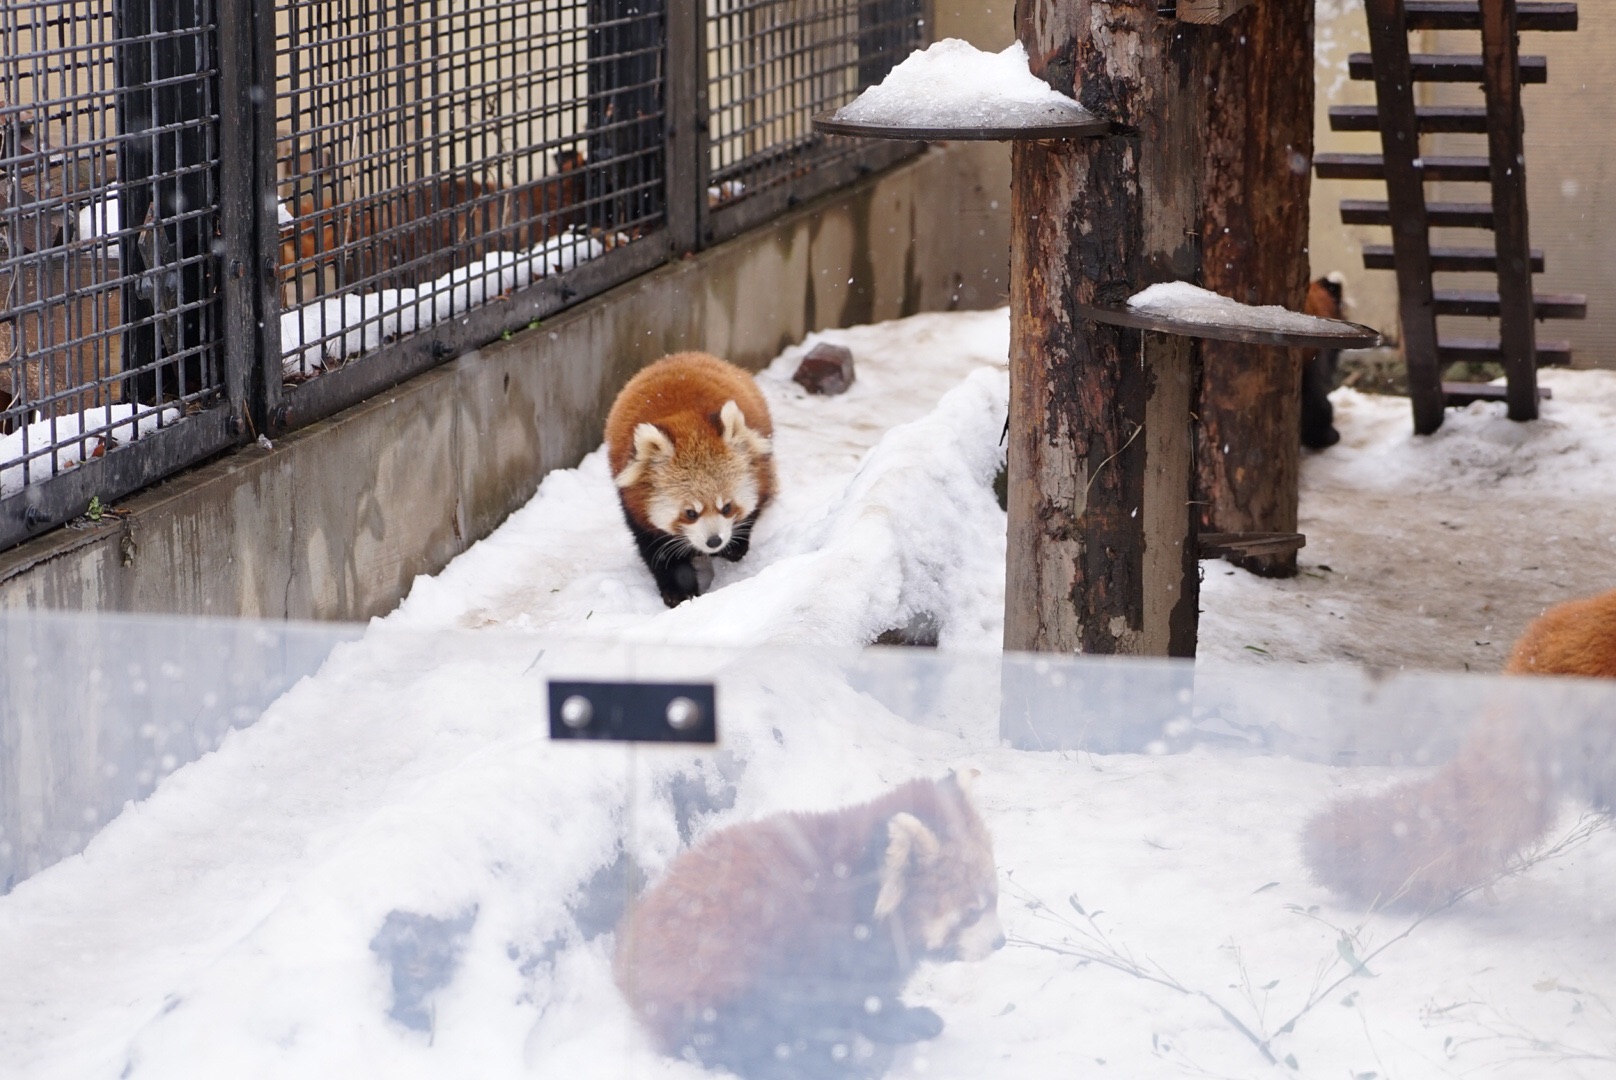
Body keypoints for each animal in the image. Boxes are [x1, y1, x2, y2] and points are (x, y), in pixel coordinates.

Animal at [607, 354, 778, 607]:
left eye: (727, 507)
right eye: (690, 513)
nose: (714, 541)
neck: (687, 418)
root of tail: (684, 355)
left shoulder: (758, 471)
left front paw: (734, 548)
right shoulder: (635, 503)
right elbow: (658, 551)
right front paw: (679, 592)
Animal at [610, 772, 1001, 1073]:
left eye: (994, 898)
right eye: (971, 911)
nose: (1000, 942)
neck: (860, 893)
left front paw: (907, 1020)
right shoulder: (830, 959)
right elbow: (843, 1008)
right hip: (719, 964)